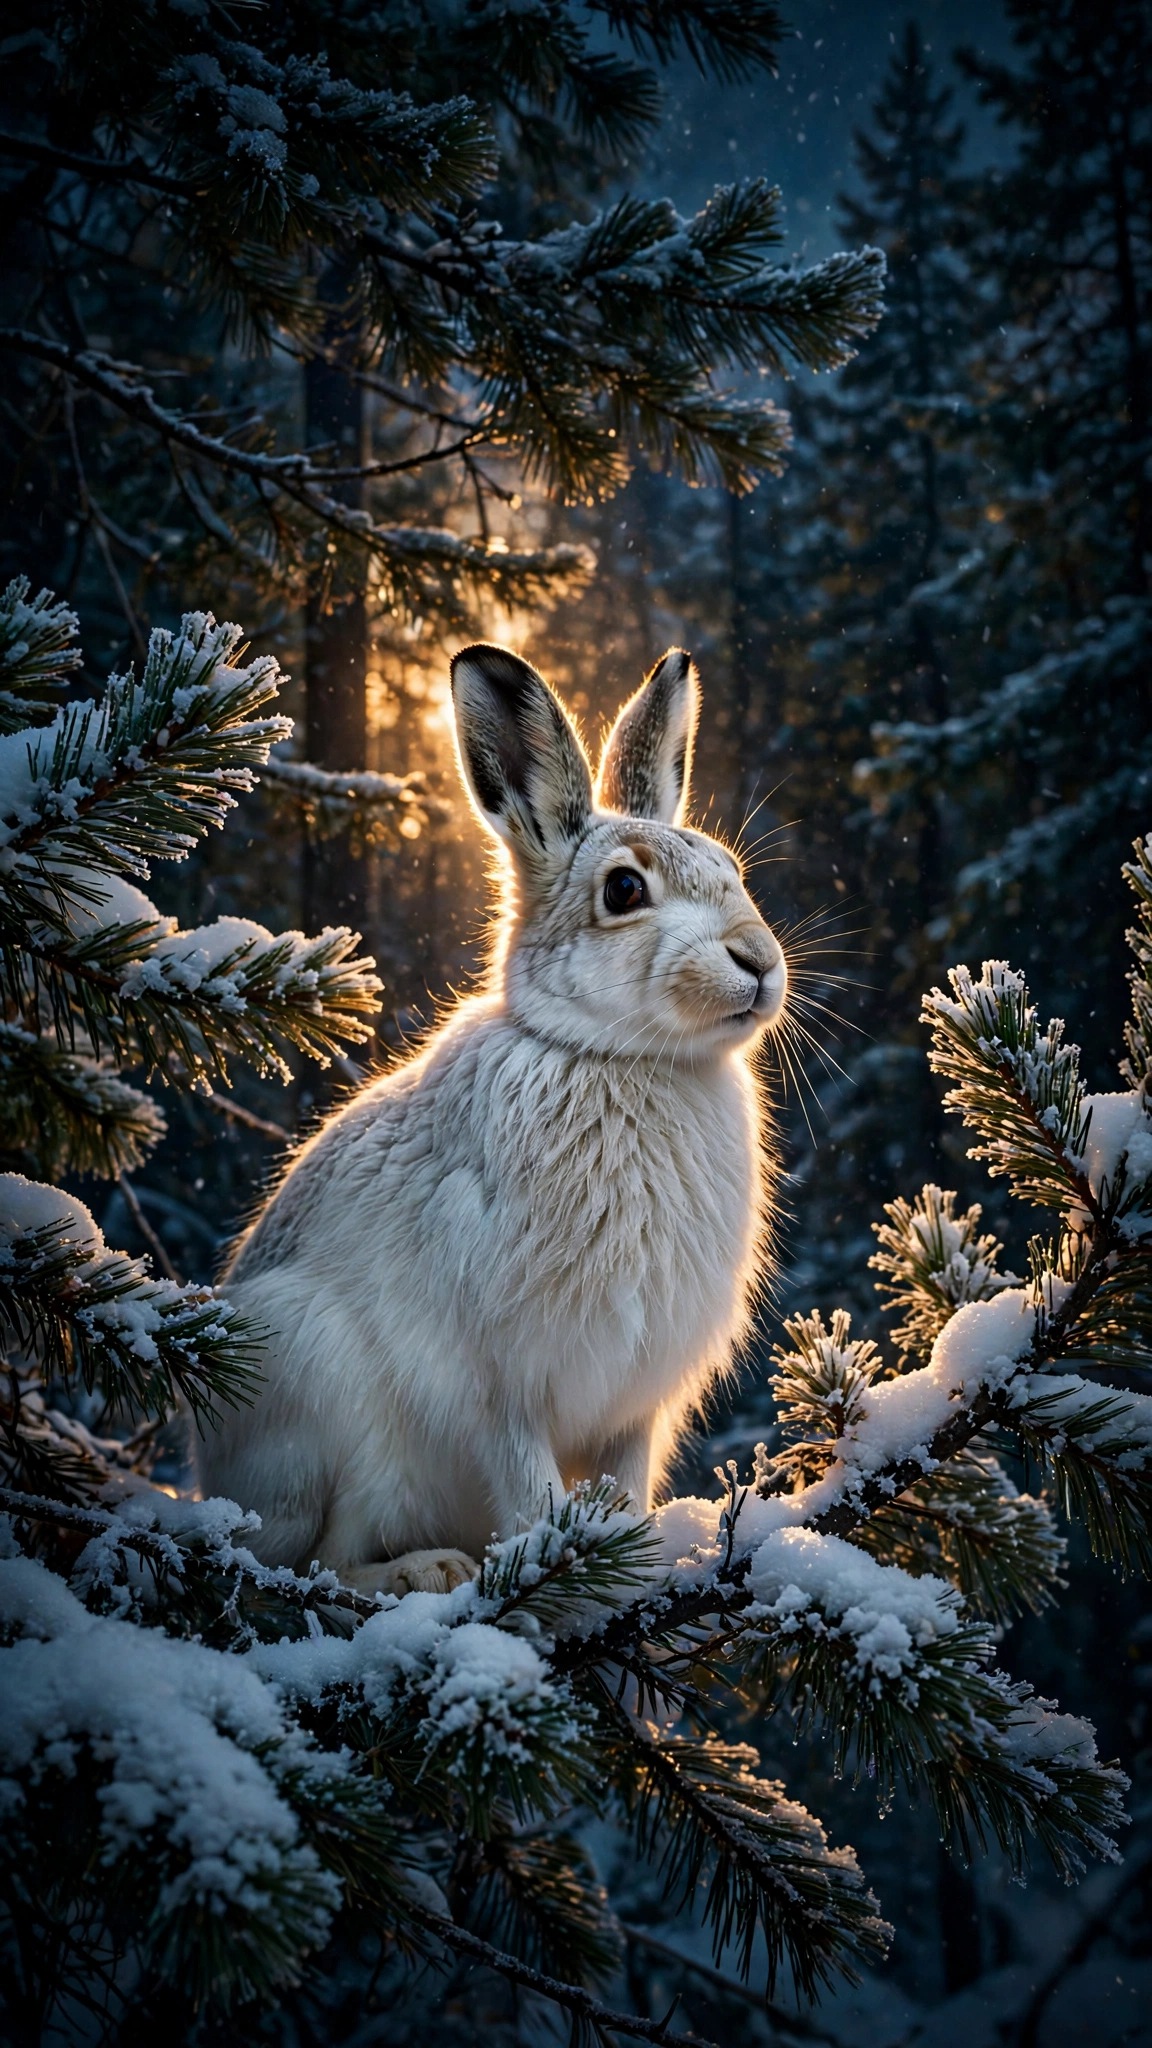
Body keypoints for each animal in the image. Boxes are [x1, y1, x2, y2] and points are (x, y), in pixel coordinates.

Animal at [197, 643, 788, 1596]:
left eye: (730, 872)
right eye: (625, 889)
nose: (761, 962)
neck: (622, 1057)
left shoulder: (636, 1403)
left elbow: (623, 1487)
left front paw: (631, 1564)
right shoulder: (501, 1384)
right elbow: (528, 1483)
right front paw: (567, 1574)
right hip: (317, 1407)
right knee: (307, 1565)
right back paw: (427, 1574)